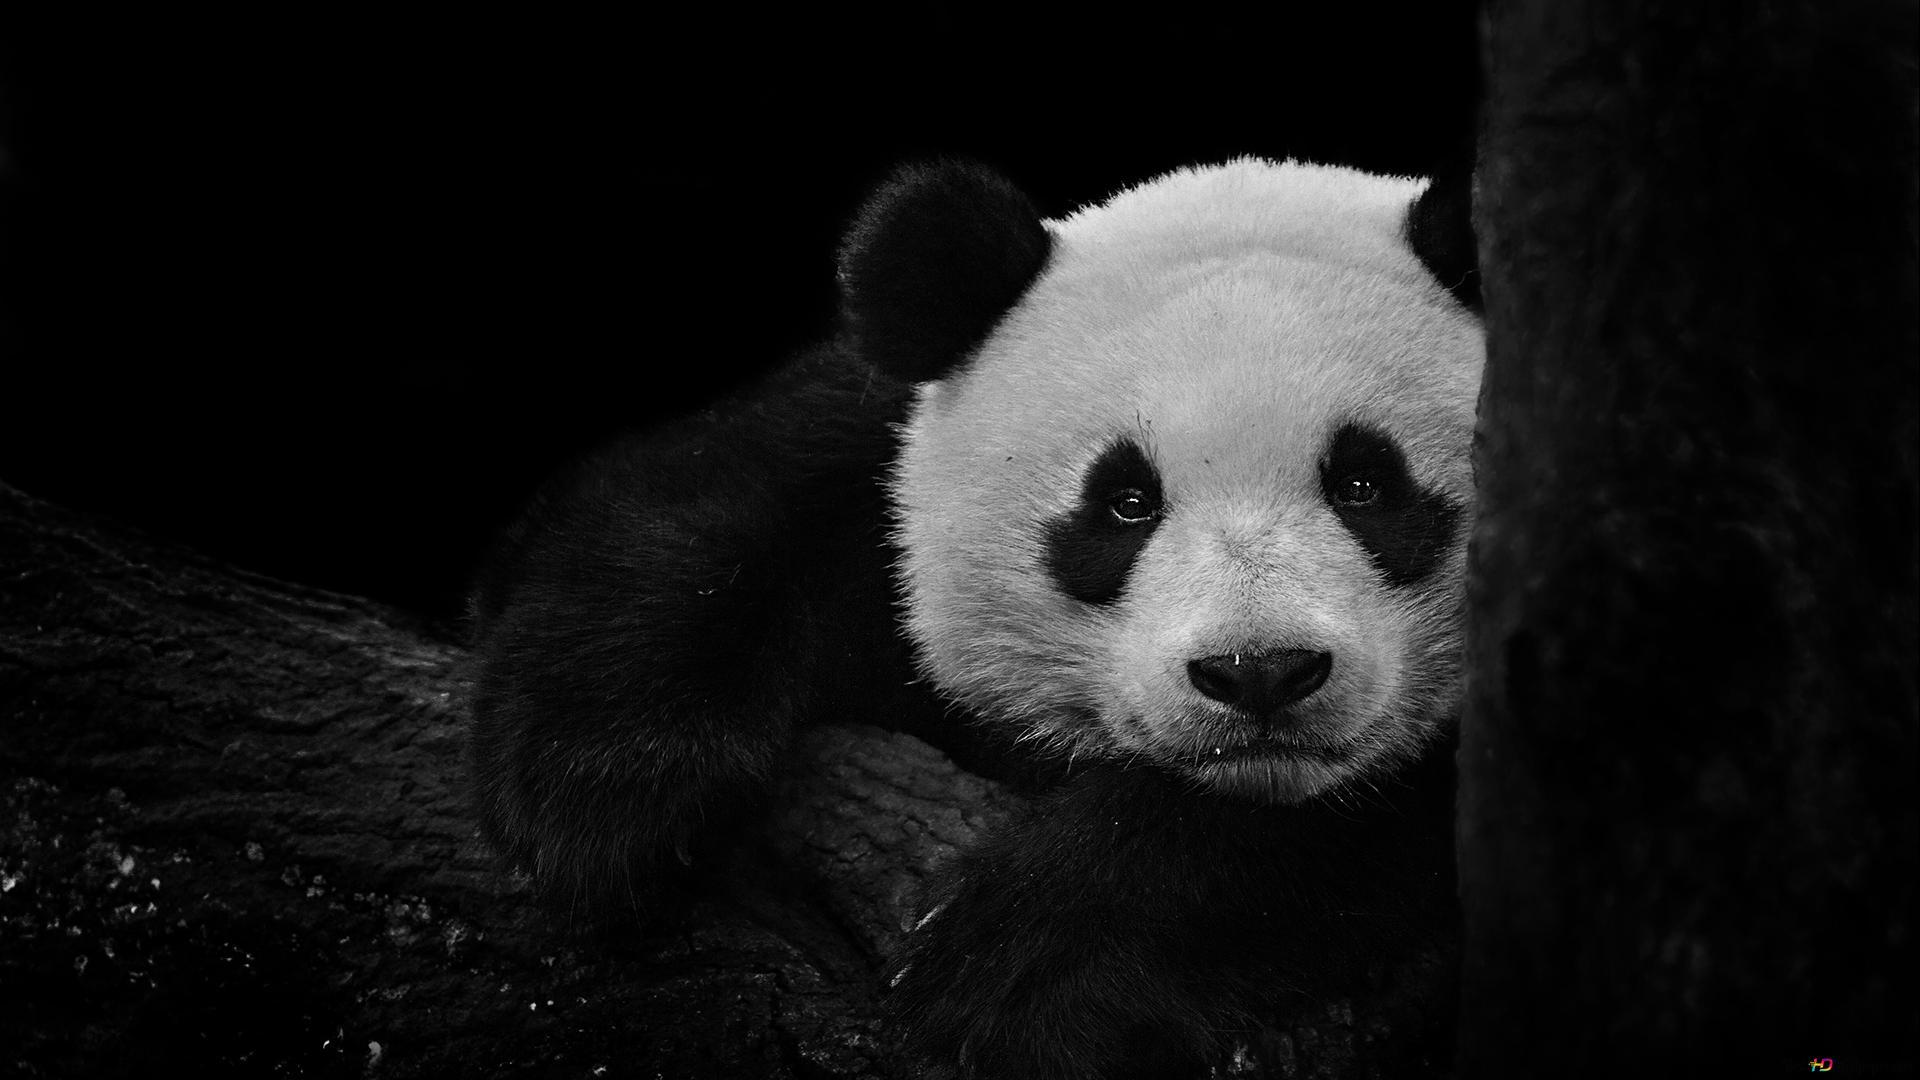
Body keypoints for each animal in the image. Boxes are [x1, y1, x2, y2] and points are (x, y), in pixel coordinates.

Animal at [469, 155, 1484, 1079]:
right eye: (1125, 502)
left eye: (1366, 486)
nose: (1259, 673)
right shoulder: (872, 454)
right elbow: (708, 492)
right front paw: (606, 795)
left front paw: (1018, 961)